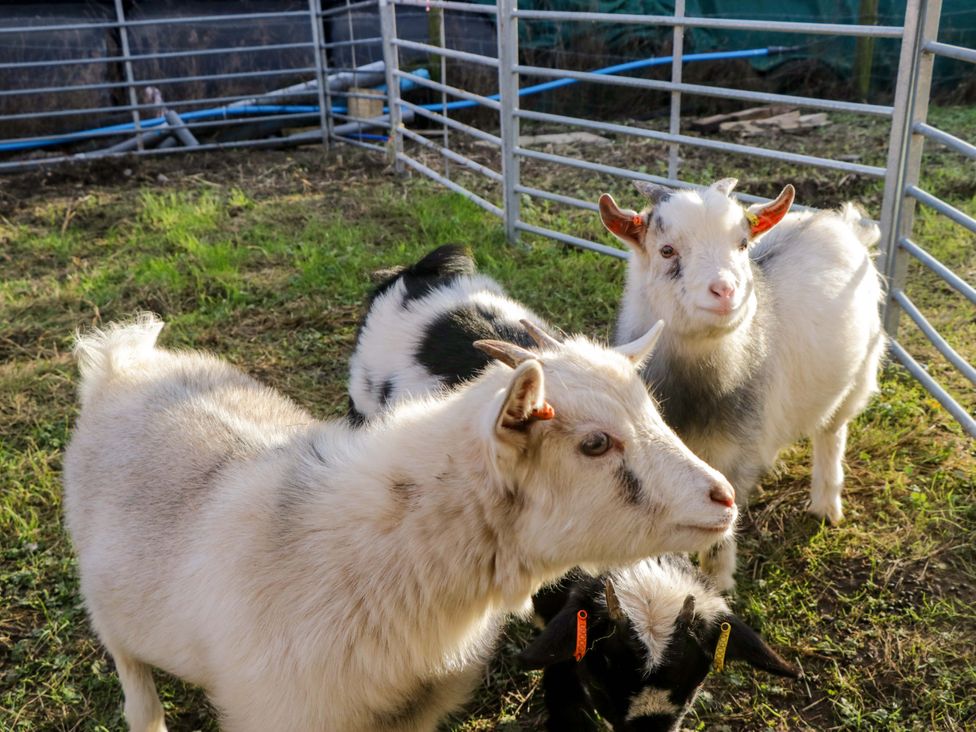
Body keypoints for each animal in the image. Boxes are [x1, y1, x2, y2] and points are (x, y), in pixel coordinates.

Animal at [599, 178, 885, 590]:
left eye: (742, 245)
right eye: (667, 250)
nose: (725, 291)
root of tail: (839, 222)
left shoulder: (730, 457)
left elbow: (721, 528)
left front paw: (716, 585)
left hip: (858, 377)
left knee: (831, 435)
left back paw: (826, 505)